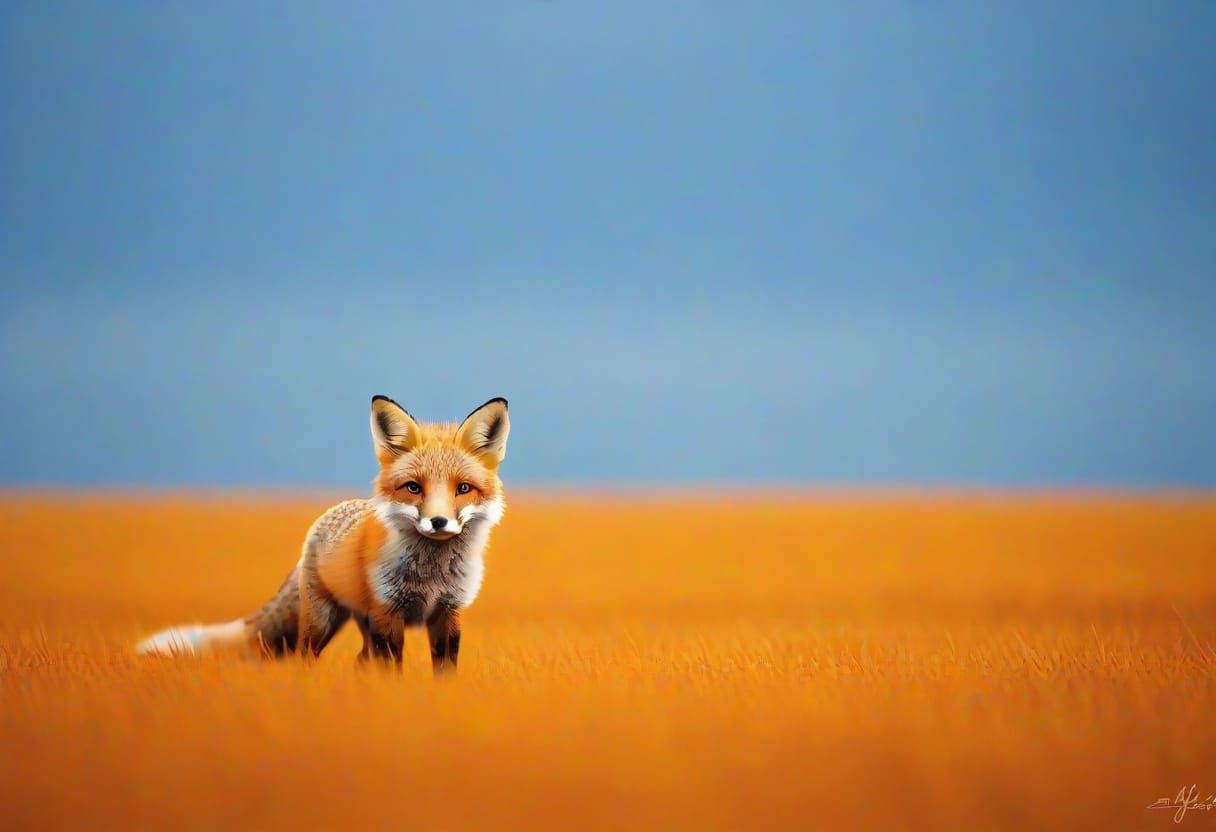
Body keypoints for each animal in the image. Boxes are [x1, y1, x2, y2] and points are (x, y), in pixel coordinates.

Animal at [137, 395, 510, 674]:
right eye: (413, 487)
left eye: (463, 488)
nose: (438, 522)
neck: (430, 575)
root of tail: (328, 515)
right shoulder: (387, 615)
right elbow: (392, 672)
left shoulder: (447, 614)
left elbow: (445, 672)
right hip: (323, 622)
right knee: (306, 657)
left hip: (360, 622)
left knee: (360, 661)